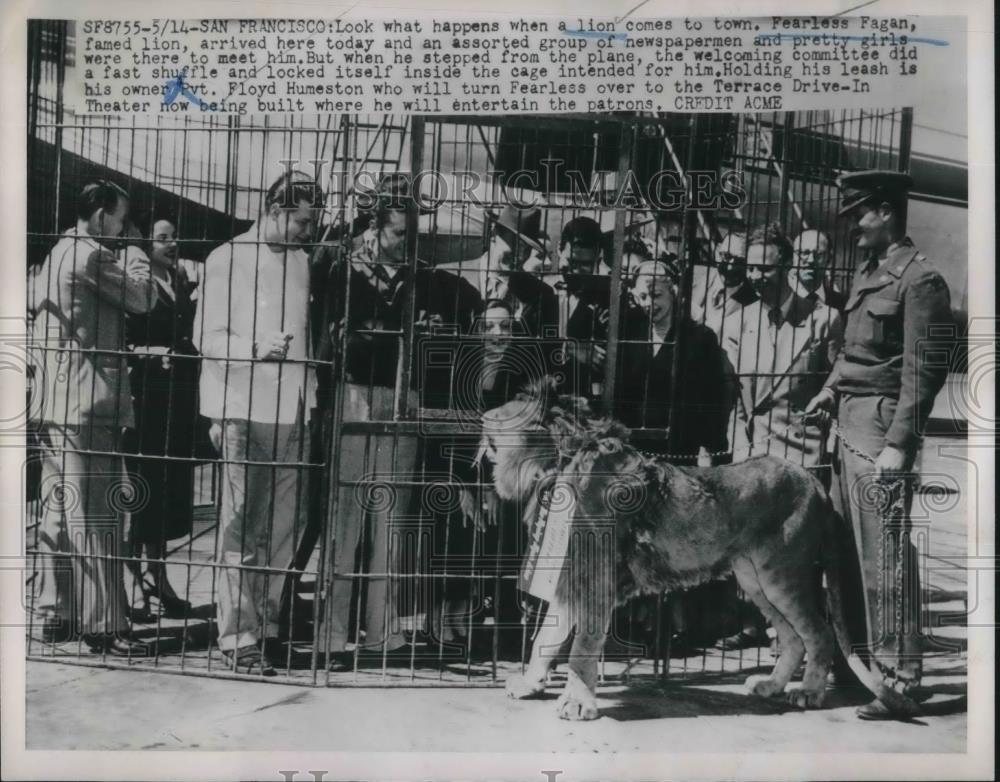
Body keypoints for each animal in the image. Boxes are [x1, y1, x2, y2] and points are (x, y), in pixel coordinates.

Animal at [480, 380, 916, 724]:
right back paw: (771, 685)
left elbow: (580, 646)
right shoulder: (570, 570)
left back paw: (807, 693)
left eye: (506, 409)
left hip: (784, 575)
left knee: (818, 634)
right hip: (755, 579)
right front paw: (530, 684)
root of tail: (816, 482)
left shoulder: (596, 574)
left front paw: (577, 704)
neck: (561, 459)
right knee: (793, 637)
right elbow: (546, 638)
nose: (482, 418)